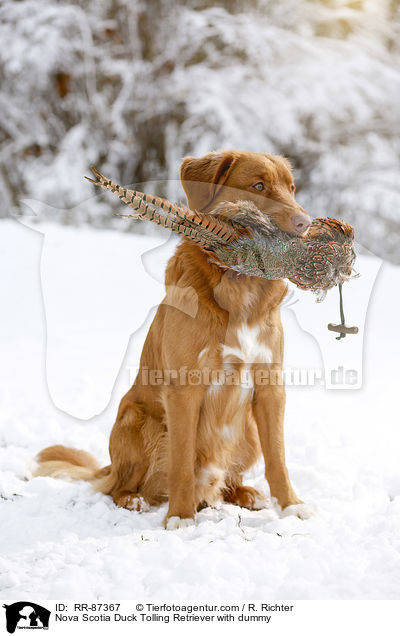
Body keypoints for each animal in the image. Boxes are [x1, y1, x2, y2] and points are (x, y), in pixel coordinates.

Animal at [35, 149, 312, 528]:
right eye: (258, 186)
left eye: (292, 188)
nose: (306, 223)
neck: (238, 285)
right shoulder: (184, 389)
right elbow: (180, 460)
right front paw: (180, 516)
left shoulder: (270, 385)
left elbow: (278, 458)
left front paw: (290, 505)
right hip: (138, 419)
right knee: (117, 487)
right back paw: (137, 499)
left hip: (247, 430)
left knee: (228, 480)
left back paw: (245, 494)